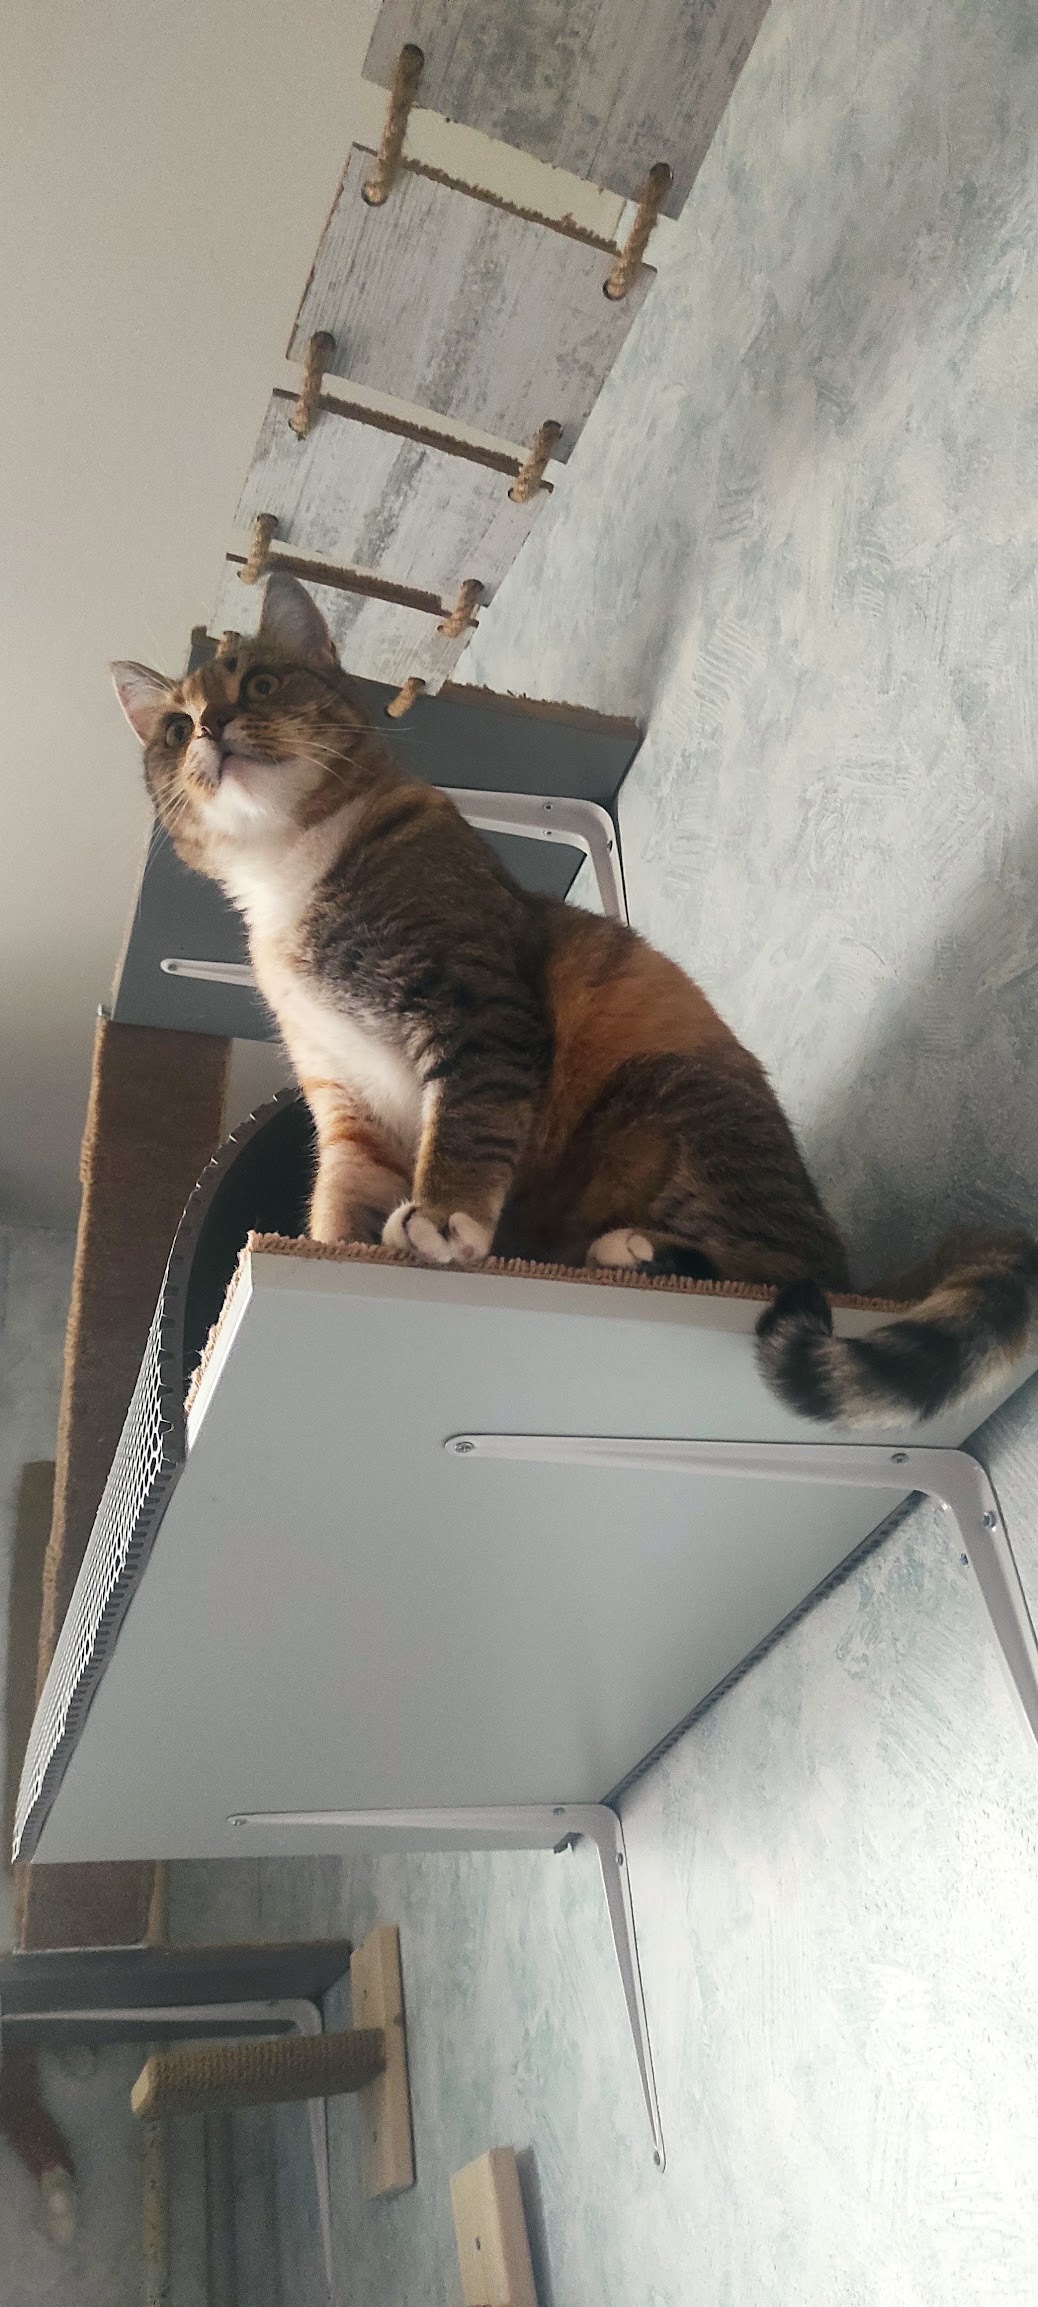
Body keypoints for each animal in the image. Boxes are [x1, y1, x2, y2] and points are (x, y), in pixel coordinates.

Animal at [113, 572, 1037, 1427]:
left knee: (785, 1265)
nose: (211, 726)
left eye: (262, 682)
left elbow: (468, 1123)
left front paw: (444, 1215)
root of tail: (871, 1270)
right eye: (175, 727)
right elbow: (343, 1193)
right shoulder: (345, 1096)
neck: (291, 870)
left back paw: (641, 1250)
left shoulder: (476, 1004)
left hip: (671, 1100)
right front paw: (324, 1254)